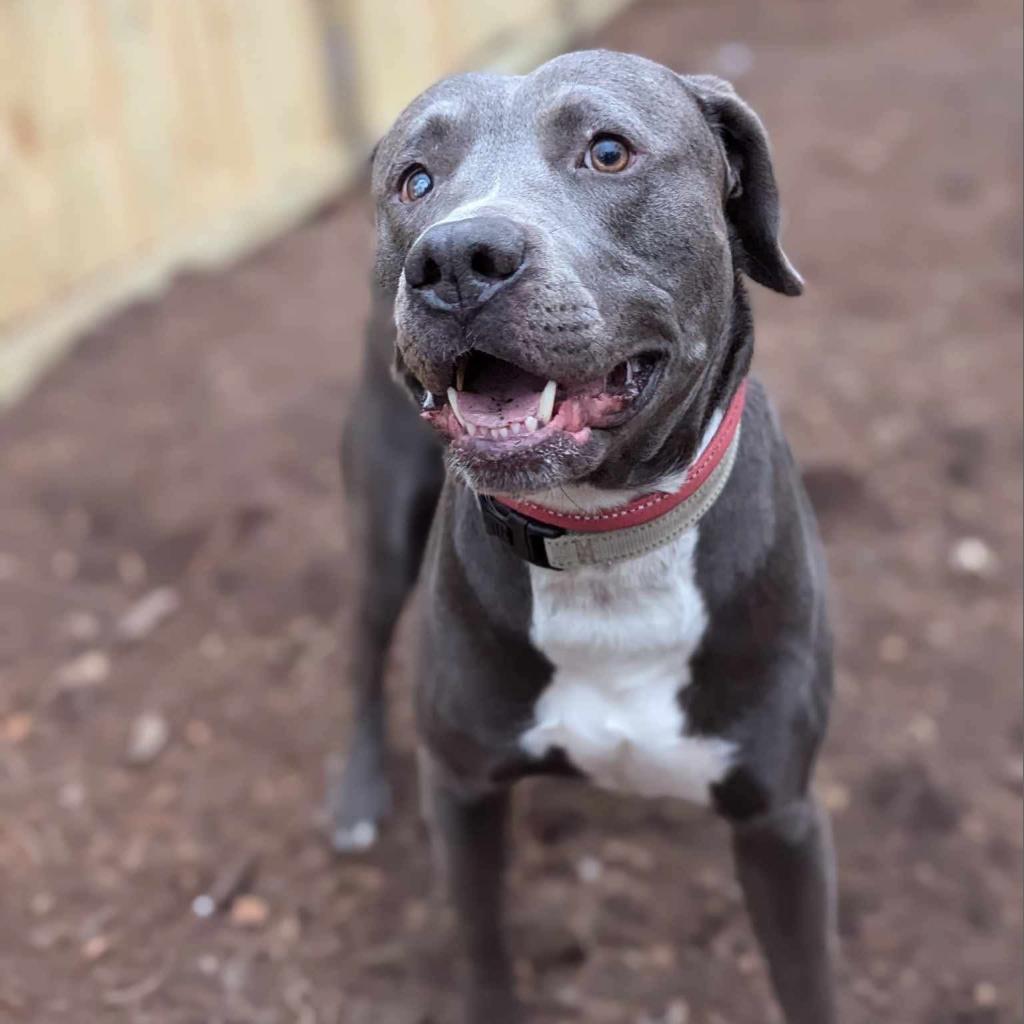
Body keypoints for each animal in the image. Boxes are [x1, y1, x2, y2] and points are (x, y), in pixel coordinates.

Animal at [331, 49, 835, 1024]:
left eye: (608, 152)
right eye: (416, 180)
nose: (454, 257)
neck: (605, 539)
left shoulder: (780, 819)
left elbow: (806, 984)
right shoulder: (460, 791)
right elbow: (484, 954)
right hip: (382, 529)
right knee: (365, 648)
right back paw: (357, 792)